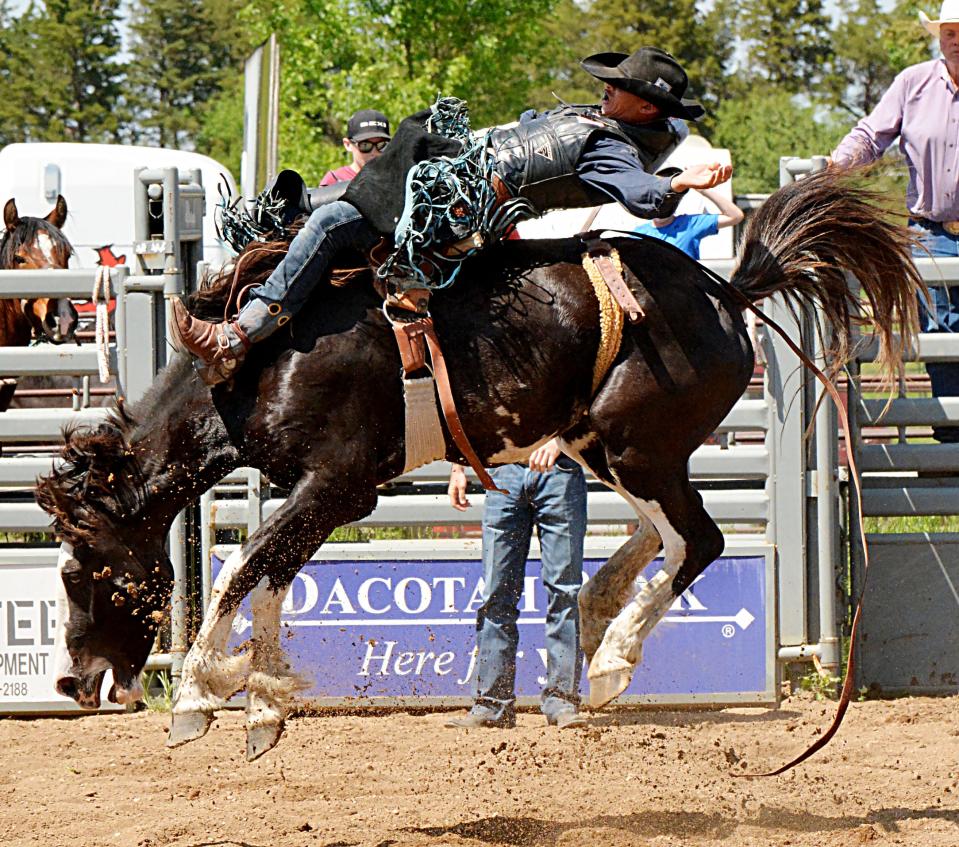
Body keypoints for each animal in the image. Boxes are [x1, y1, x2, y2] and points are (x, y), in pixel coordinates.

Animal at [39, 171, 924, 760]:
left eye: (84, 570)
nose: (75, 684)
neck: (260, 359)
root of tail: (727, 294)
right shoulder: (328, 498)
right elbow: (270, 575)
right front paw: (259, 696)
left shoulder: (338, 485)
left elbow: (240, 568)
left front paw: (199, 690)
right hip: (605, 444)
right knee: (659, 535)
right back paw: (597, 611)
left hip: (634, 441)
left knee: (695, 539)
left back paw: (610, 662)